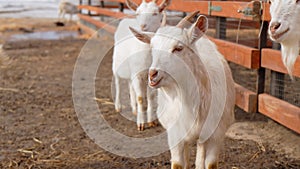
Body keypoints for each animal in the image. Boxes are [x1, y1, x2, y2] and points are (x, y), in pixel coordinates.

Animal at [112, 0, 170, 131]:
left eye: (155, 13)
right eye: (137, 13)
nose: (143, 26)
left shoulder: (152, 76)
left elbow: (151, 97)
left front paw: (151, 121)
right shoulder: (137, 74)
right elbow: (141, 98)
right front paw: (141, 124)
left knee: (130, 85)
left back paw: (134, 108)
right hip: (116, 64)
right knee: (118, 82)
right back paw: (118, 106)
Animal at [130, 13, 236, 168]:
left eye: (178, 48)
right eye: (152, 47)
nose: (152, 74)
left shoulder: (216, 133)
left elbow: (211, 164)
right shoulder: (175, 134)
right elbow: (178, 164)